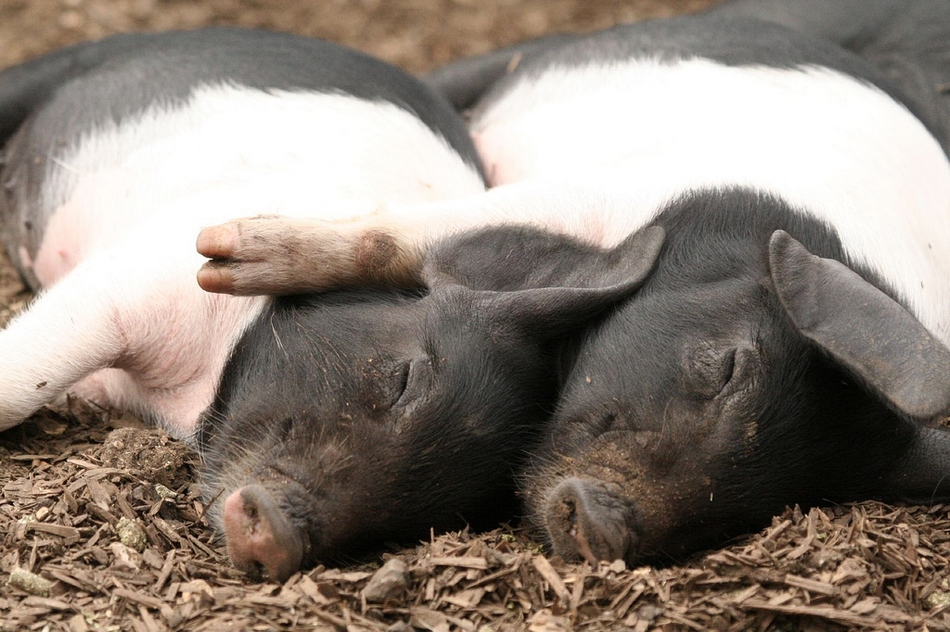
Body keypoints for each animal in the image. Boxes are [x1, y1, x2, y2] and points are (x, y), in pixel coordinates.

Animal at [0, 30, 660, 584]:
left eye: (439, 511)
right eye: (405, 379)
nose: (277, 538)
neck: (183, 394)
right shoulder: (142, 274)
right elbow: (25, 379)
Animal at [199, 1, 950, 568]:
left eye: (777, 503)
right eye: (729, 365)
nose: (603, 526)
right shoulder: (618, 188)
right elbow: (418, 235)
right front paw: (223, 257)